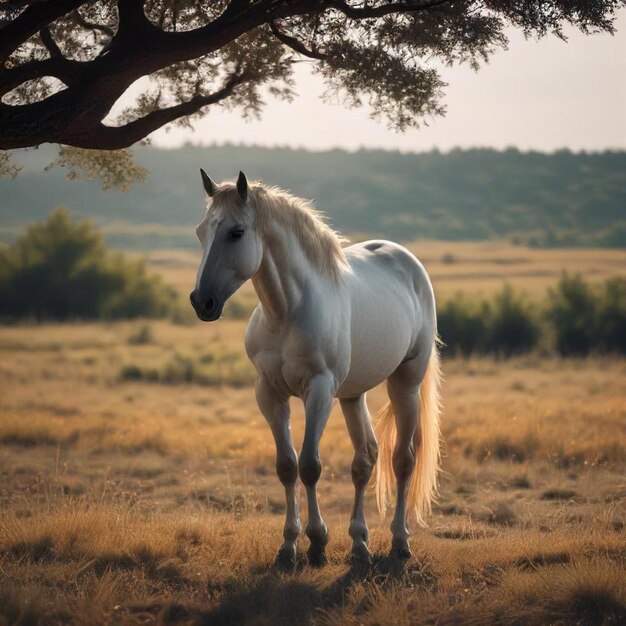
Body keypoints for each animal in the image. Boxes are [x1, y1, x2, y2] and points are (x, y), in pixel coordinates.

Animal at [190, 173, 438, 568]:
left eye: (236, 232)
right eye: (201, 231)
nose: (202, 302)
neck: (286, 312)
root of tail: (407, 260)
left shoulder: (319, 391)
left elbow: (309, 465)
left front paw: (318, 542)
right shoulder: (269, 393)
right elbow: (287, 466)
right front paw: (288, 546)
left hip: (406, 384)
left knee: (402, 460)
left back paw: (400, 542)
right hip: (353, 395)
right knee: (365, 459)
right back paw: (359, 543)